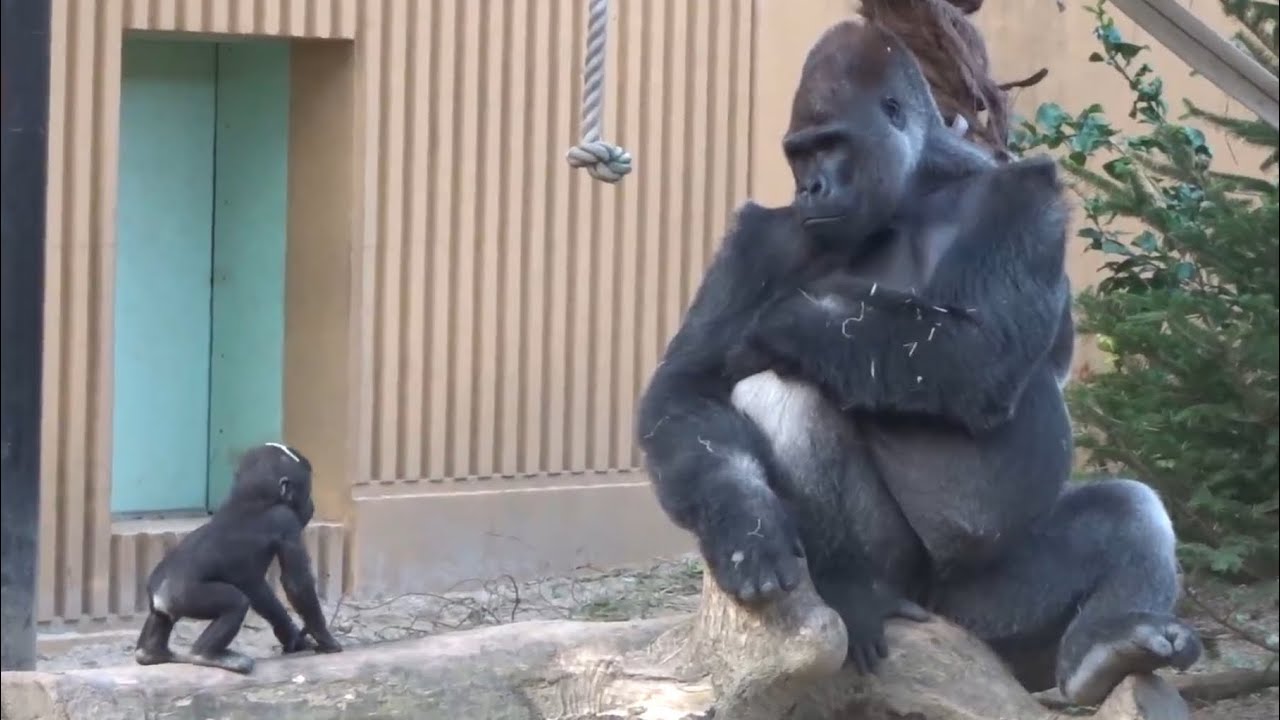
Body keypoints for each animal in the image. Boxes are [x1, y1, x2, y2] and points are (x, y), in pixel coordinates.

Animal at [134, 443, 342, 674]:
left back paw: (152, 653)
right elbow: (297, 583)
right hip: (185, 596)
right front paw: (325, 639)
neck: (250, 498)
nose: (311, 504)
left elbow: (262, 595)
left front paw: (292, 636)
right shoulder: (286, 522)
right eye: (306, 492)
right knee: (235, 602)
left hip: (162, 602)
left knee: (159, 619)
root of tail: (160, 596)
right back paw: (207, 655)